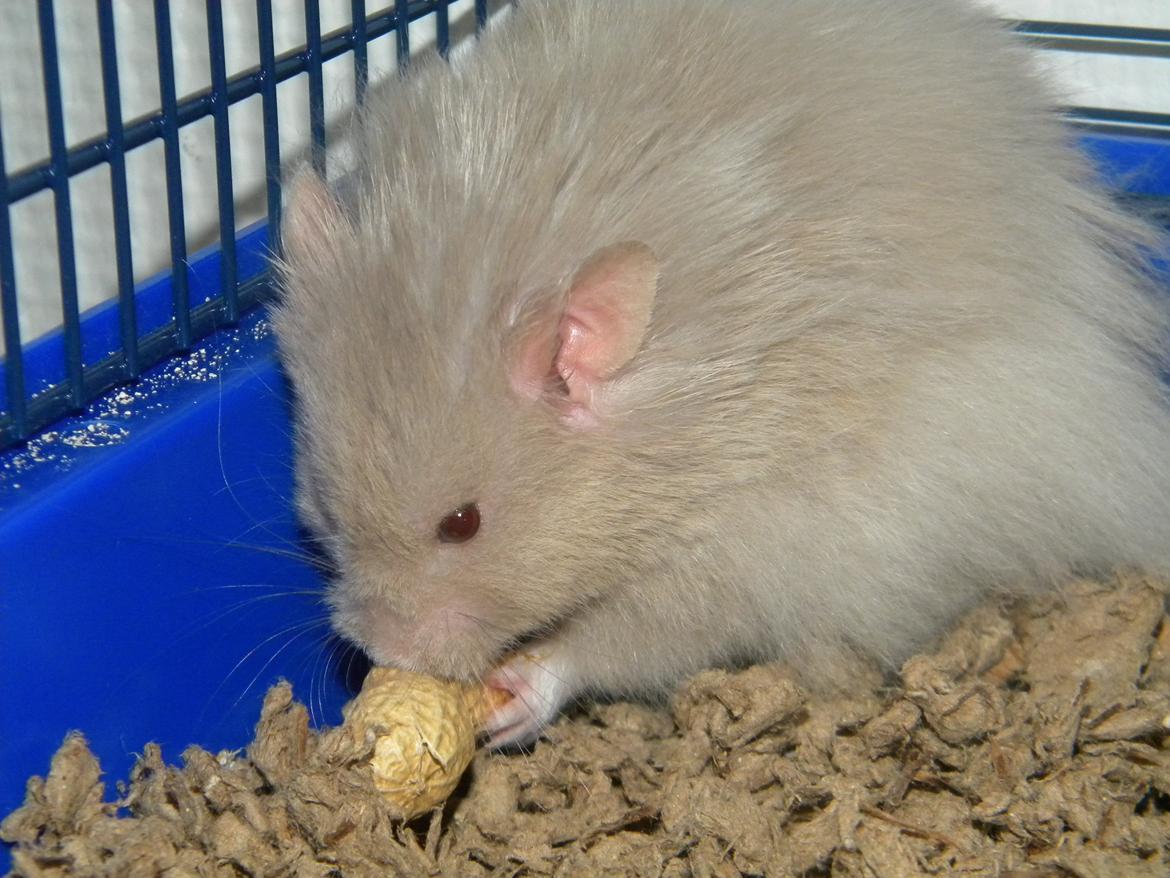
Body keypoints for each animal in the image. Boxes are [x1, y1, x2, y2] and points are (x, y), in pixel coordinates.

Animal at [273, 0, 1170, 748]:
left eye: (462, 523)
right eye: (324, 502)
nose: (379, 648)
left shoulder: (752, 545)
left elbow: (631, 634)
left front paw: (515, 695)